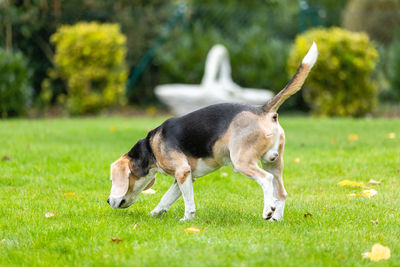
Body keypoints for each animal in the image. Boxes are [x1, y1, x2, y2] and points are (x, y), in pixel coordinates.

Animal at [107, 42, 318, 222]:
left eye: (111, 179)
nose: (108, 201)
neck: (150, 148)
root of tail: (263, 109)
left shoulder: (182, 172)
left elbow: (188, 202)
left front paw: (187, 219)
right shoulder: (185, 175)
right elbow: (167, 198)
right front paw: (155, 213)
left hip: (243, 162)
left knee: (266, 180)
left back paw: (268, 211)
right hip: (273, 161)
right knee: (280, 192)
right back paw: (276, 218)